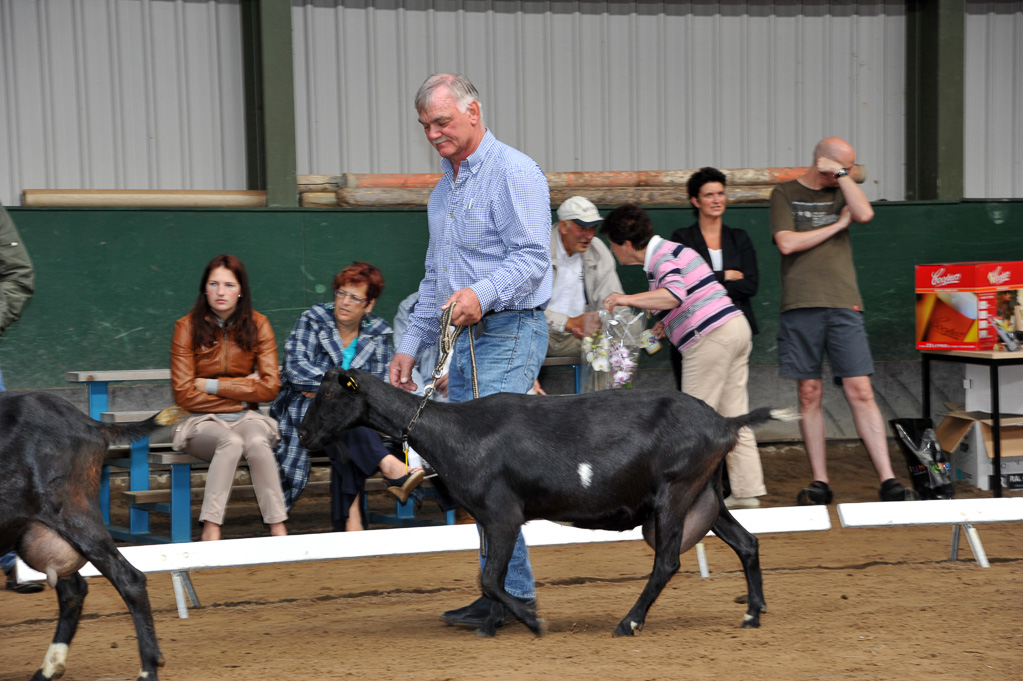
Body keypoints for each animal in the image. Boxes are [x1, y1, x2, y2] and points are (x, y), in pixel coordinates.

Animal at [0, 390, 186, 678]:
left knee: (129, 579)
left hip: (73, 514)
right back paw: (49, 668)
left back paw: (148, 669)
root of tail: (90, 424)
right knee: (73, 590)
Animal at [298, 366, 793, 638]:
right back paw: (752, 613)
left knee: (667, 562)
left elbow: (489, 579)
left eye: (329, 394)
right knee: (747, 543)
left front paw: (533, 621)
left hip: (676, 491)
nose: (302, 434)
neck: (456, 432)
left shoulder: (503, 514)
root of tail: (725, 421)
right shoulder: (486, 518)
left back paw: (628, 623)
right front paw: (491, 624)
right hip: (704, 495)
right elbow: (490, 577)